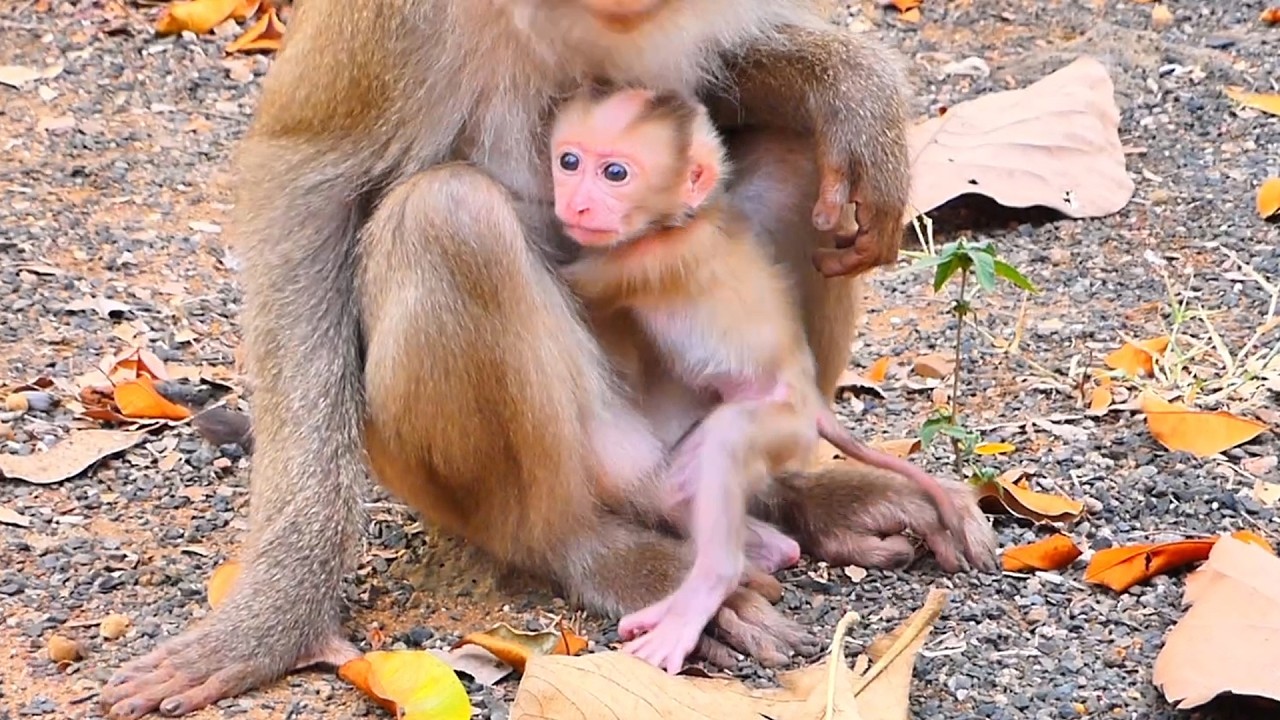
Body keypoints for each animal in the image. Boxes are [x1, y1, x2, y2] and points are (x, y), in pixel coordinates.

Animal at [547, 85, 977, 673]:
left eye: (615, 172)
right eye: (568, 161)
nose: (576, 204)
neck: (680, 220)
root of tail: (812, 402)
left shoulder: (647, 259)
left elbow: (577, 282)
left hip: (775, 420)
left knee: (725, 448)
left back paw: (707, 590)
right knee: (684, 483)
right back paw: (767, 551)